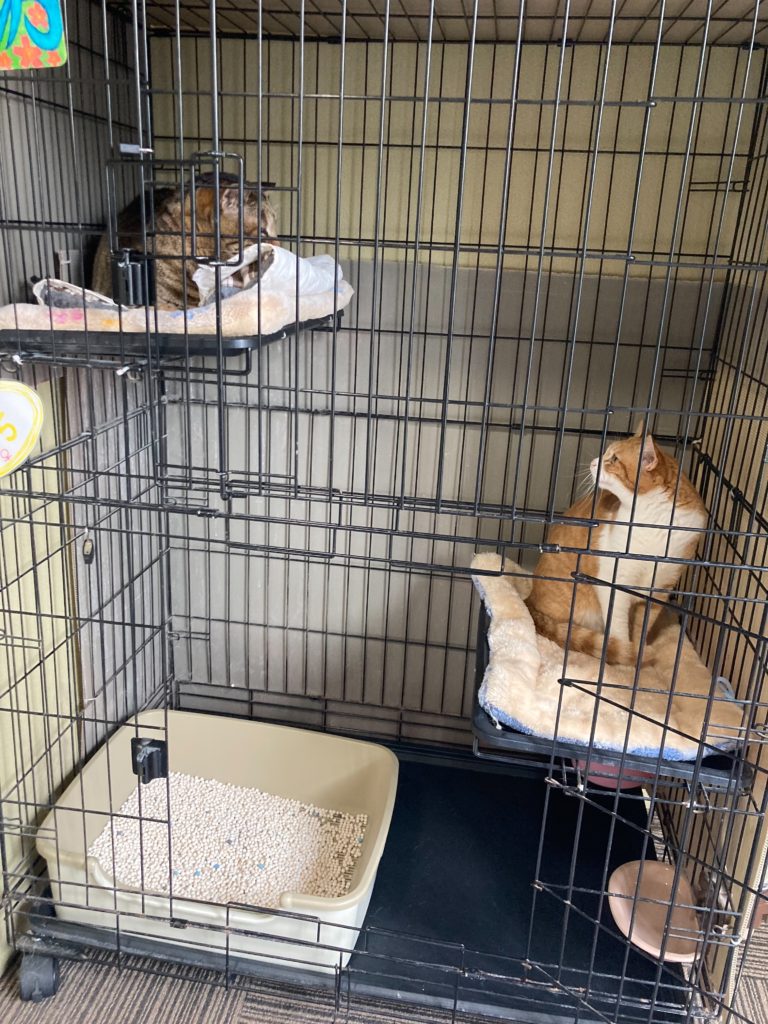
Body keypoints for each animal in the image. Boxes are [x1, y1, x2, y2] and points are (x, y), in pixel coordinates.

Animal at [525, 425, 707, 665]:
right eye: (606, 454)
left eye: (613, 459)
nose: (594, 462)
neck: (654, 522)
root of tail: (530, 600)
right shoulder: (614, 582)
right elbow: (619, 629)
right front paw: (623, 654)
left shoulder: (658, 589)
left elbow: (642, 628)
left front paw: (637, 654)